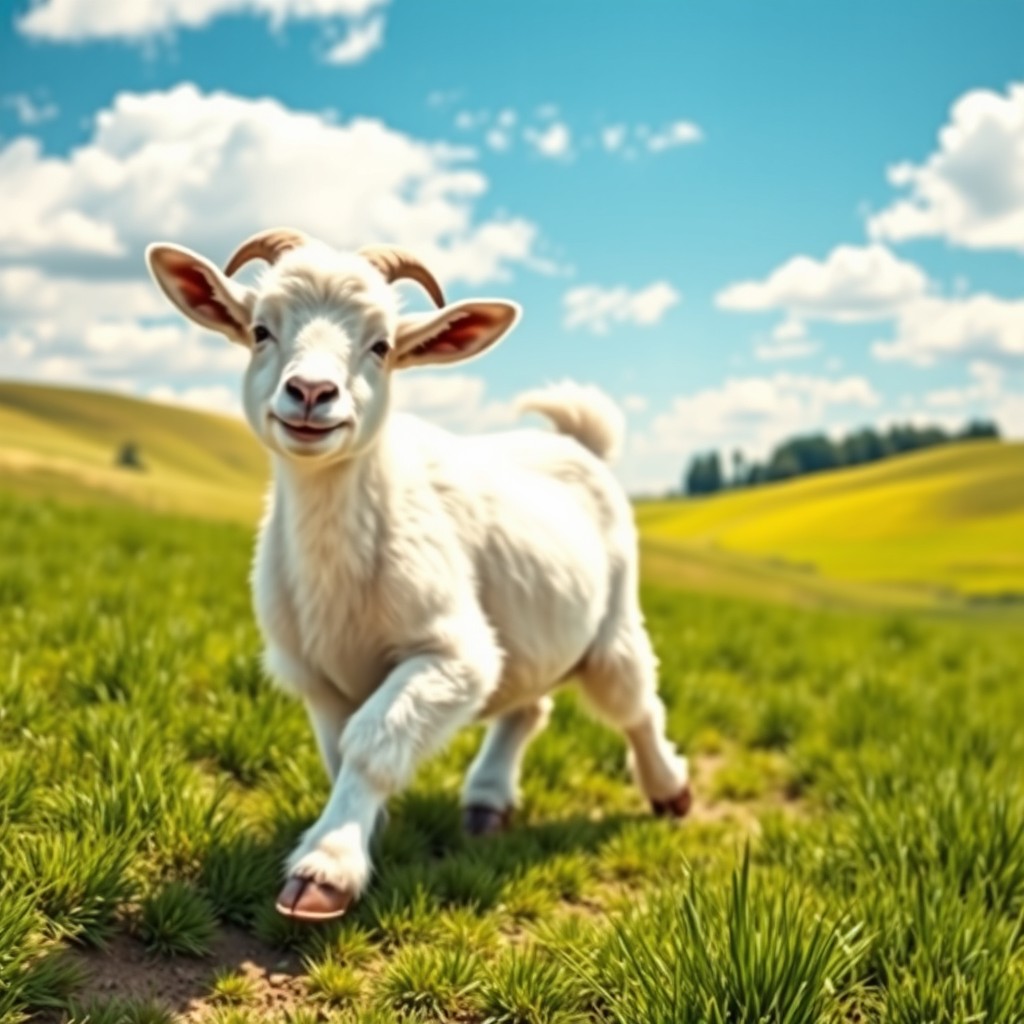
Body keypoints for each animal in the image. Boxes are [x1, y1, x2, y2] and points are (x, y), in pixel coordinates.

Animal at [146, 229, 691, 922]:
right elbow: (337, 752)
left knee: (636, 701)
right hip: (533, 626)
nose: (312, 393)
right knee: (530, 706)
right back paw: (486, 802)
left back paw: (670, 791)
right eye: (261, 330)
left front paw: (327, 867)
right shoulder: (315, 672)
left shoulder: (454, 655)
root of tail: (577, 442)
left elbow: (372, 740)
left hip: (614, 619)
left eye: (382, 345)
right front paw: (359, 831)